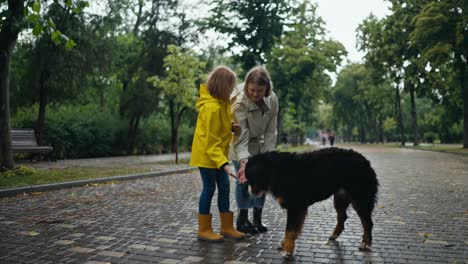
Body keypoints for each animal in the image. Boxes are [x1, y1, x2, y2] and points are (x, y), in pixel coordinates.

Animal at [247, 147, 378, 258]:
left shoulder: (295, 206)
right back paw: (334, 235)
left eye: (251, 178)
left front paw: (288, 250)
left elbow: (289, 230)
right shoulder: (298, 207)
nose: (250, 192)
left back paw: (365, 243)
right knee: (343, 217)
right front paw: (286, 244)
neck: (276, 171)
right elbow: (294, 229)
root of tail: (365, 160)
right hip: (340, 198)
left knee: (367, 223)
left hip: (360, 199)